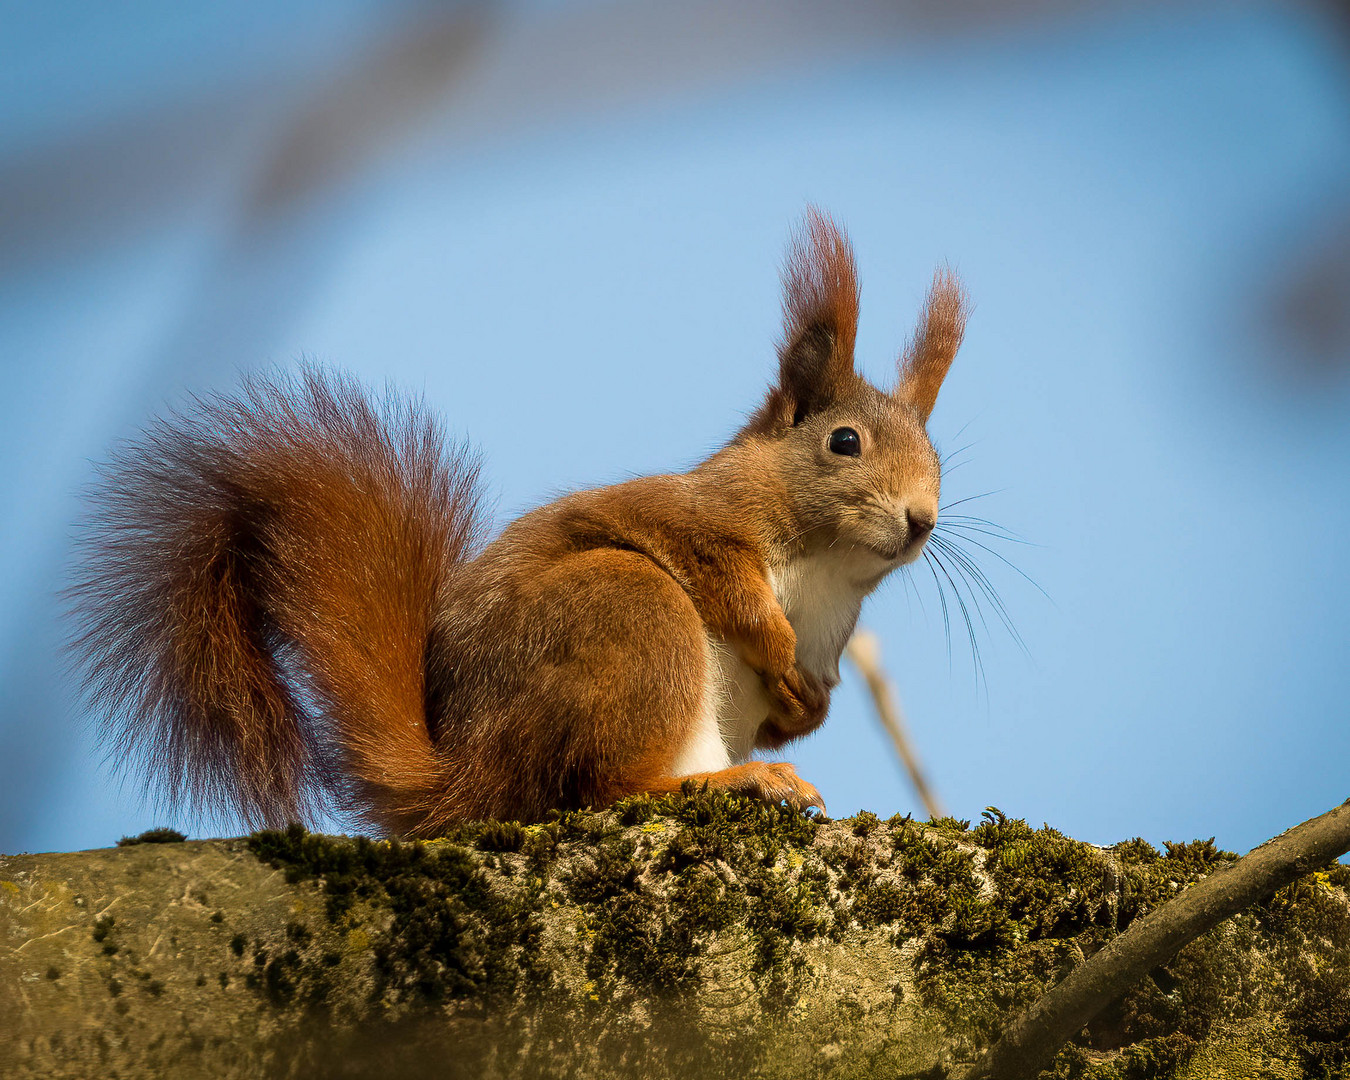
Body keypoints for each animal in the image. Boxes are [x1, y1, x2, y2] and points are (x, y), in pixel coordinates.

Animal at [71, 210, 961, 837]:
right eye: (843, 442)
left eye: (937, 458)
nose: (922, 520)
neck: (823, 570)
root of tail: (474, 776)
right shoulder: (690, 516)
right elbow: (713, 569)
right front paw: (772, 642)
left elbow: (794, 710)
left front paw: (806, 706)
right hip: (628, 610)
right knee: (605, 788)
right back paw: (729, 780)